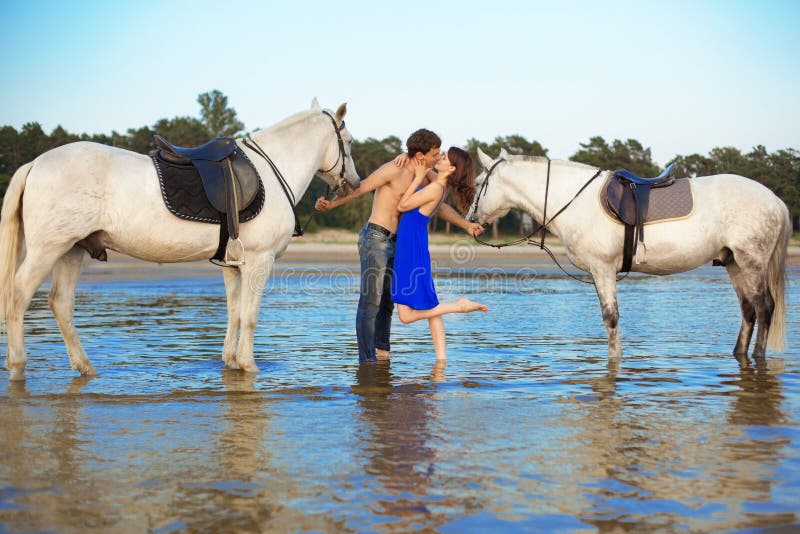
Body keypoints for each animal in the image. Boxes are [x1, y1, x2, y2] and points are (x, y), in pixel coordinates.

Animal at [0, 97, 360, 382]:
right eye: (349, 141)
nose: (354, 182)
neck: (269, 171)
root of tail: (35, 164)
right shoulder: (260, 261)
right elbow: (250, 316)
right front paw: (250, 366)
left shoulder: (233, 265)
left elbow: (235, 313)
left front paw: (231, 363)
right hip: (48, 250)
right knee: (18, 296)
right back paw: (17, 366)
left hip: (71, 251)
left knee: (60, 303)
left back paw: (85, 368)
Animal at [468, 149, 788, 362]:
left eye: (478, 183)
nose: (472, 219)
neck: (576, 200)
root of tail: (774, 200)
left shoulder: (603, 269)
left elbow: (611, 319)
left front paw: (614, 362)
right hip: (733, 264)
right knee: (748, 311)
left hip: (751, 263)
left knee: (764, 309)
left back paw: (758, 358)